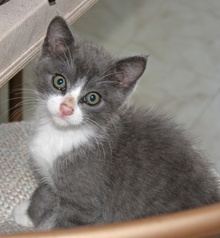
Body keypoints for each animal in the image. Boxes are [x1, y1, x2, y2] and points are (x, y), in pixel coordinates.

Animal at [13, 16, 220, 229]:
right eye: (59, 81)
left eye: (93, 98)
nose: (66, 109)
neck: (62, 134)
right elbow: (45, 190)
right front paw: (28, 213)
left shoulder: (85, 201)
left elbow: (66, 227)